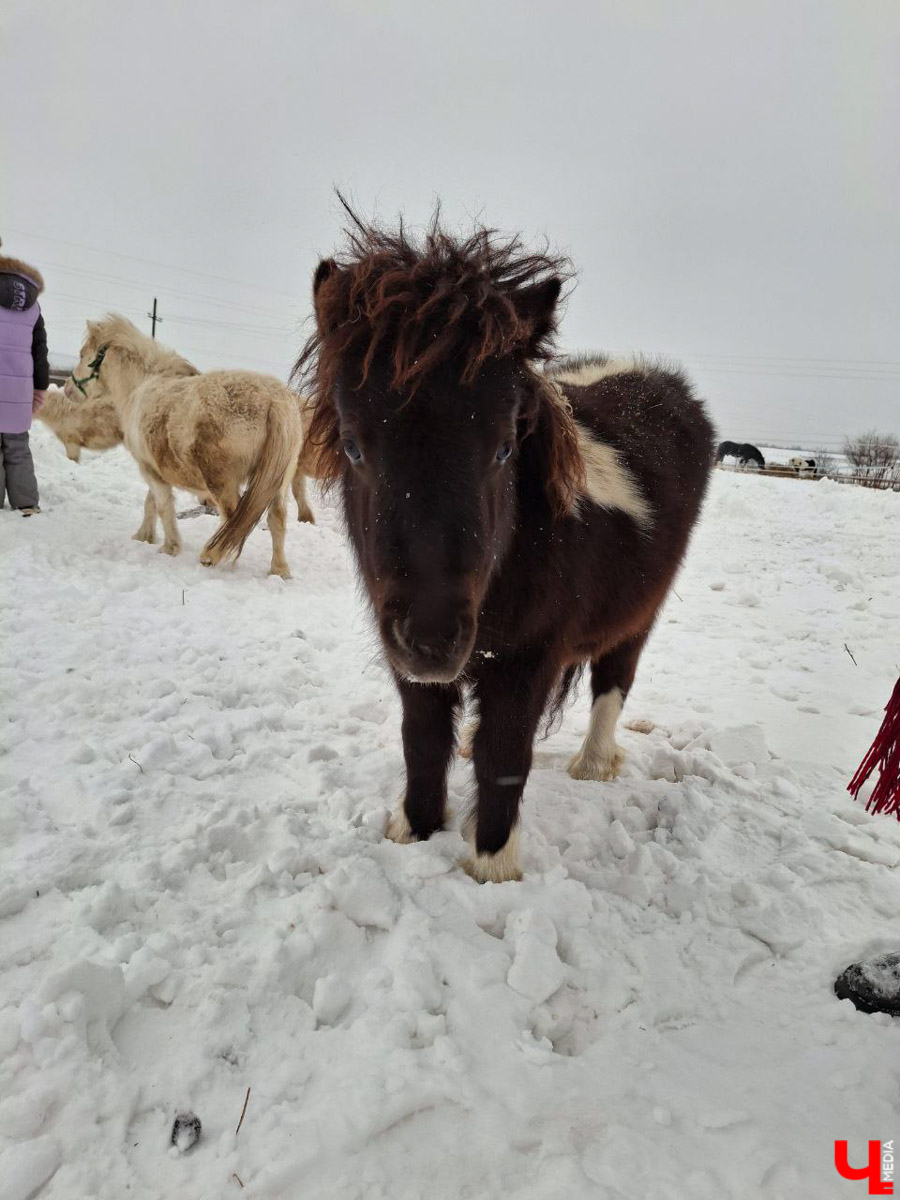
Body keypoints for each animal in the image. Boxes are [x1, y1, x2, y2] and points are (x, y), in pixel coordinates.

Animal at [63, 314, 304, 576]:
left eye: (81, 355)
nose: (67, 389)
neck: (141, 386)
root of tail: (274, 401)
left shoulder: (148, 468)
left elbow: (162, 505)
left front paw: (170, 546)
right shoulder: (155, 468)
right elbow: (151, 502)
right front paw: (144, 536)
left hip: (222, 482)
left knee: (232, 517)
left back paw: (212, 556)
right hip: (277, 482)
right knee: (276, 518)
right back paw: (279, 570)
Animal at [300, 206, 715, 883]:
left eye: (504, 447)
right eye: (355, 446)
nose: (433, 641)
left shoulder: (527, 659)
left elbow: (504, 755)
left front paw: (492, 866)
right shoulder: (407, 658)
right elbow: (423, 740)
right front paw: (414, 828)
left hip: (636, 617)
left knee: (613, 682)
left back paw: (593, 764)